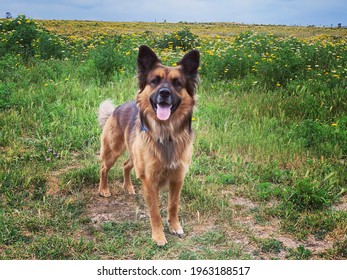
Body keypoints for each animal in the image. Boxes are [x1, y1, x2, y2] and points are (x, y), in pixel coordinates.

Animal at [98, 45, 201, 245]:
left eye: (177, 83)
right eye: (155, 81)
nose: (164, 93)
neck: (166, 133)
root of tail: (116, 109)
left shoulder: (177, 178)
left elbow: (173, 205)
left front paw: (174, 226)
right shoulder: (149, 180)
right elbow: (155, 212)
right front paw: (159, 236)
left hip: (134, 155)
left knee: (125, 165)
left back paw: (128, 187)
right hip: (113, 150)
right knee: (104, 168)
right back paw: (104, 189)